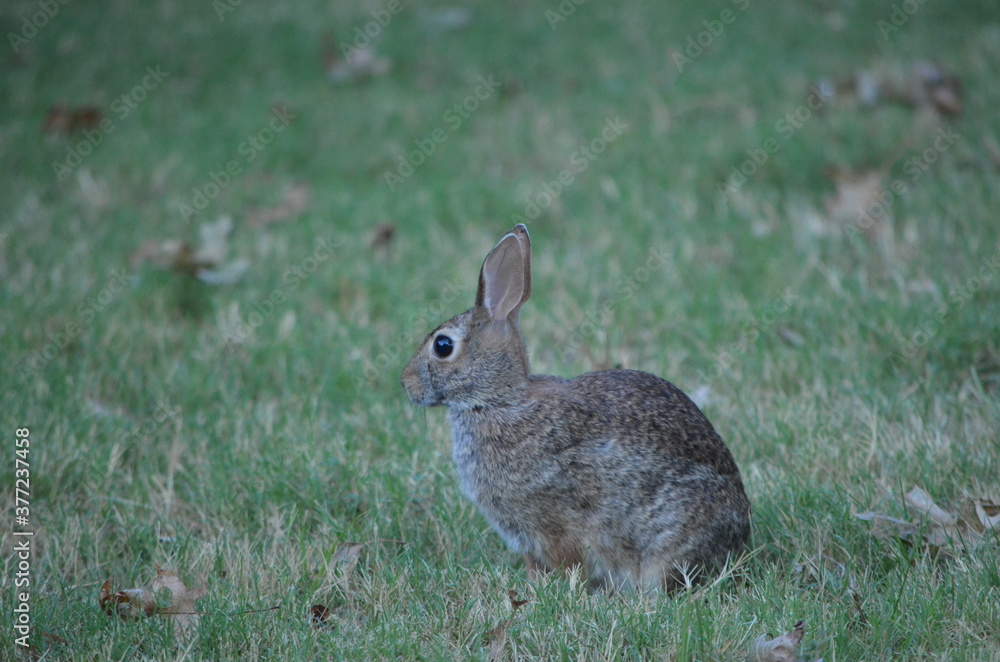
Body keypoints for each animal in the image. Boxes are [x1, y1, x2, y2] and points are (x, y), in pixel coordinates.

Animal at [401, 224, 751, 592]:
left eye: (443, 346)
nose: (405, 382)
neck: (498, 401)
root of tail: (740, 538)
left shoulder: (554, 522)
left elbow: (569, 560)